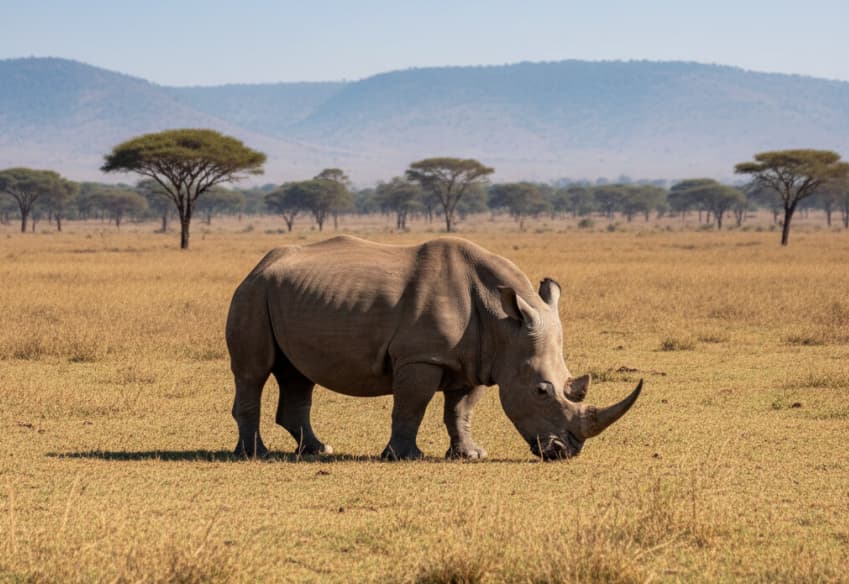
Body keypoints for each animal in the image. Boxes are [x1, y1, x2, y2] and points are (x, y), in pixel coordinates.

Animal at [226, 235, 641, 460]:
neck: (504, 324)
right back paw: (255, 454)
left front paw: (470, 455)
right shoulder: (421, 357)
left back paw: (318, 450)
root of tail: (258, 265)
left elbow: (460, 411)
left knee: (298, 374)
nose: (564, 452)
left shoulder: (477, 360)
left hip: (282, 294)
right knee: (253, 373)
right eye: (541, 391)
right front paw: (403, 456)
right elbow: (412, 405)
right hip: (253, 293)